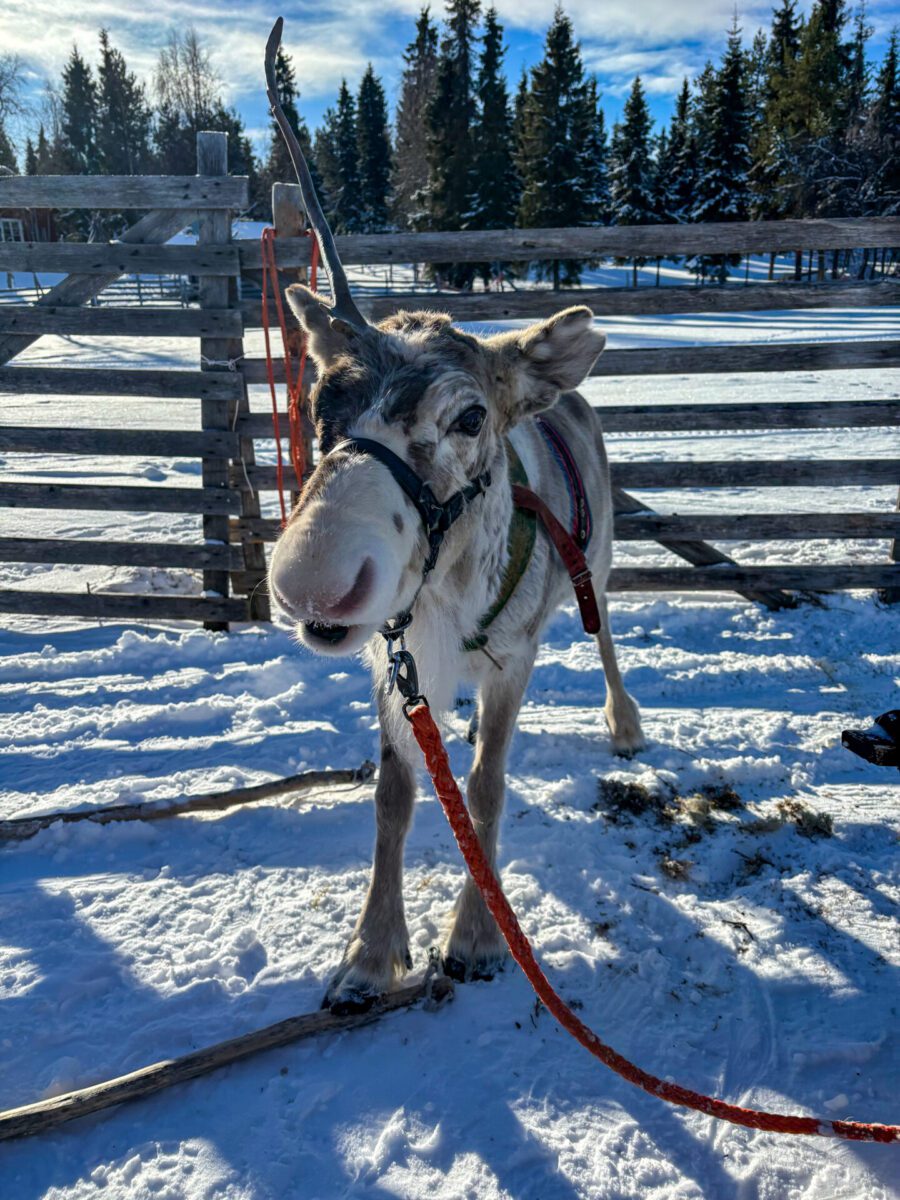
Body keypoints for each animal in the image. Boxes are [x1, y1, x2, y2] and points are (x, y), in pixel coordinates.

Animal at [264, 19, 643, 1015]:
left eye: (470, 417)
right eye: (321, 395)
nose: (310, 580)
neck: (442, 608)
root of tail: (564, 389)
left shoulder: (512, 659)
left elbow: (486, 789)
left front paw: (472, 938)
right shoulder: (390, 667)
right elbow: (395, 799)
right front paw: (368, 953)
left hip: (600, 565)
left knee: (603, 631)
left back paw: (625, 721)